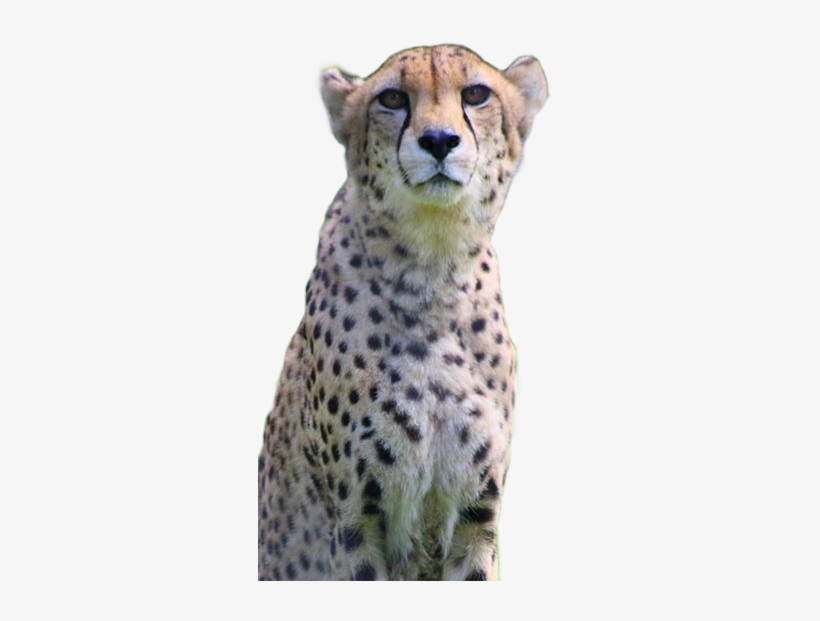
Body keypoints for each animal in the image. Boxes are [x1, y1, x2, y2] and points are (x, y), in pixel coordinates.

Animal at [258, 44, 547, 581]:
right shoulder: (355, 522)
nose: (438, 140)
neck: (434, 268)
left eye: (476, 94)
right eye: (391, 98)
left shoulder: (476, 519)